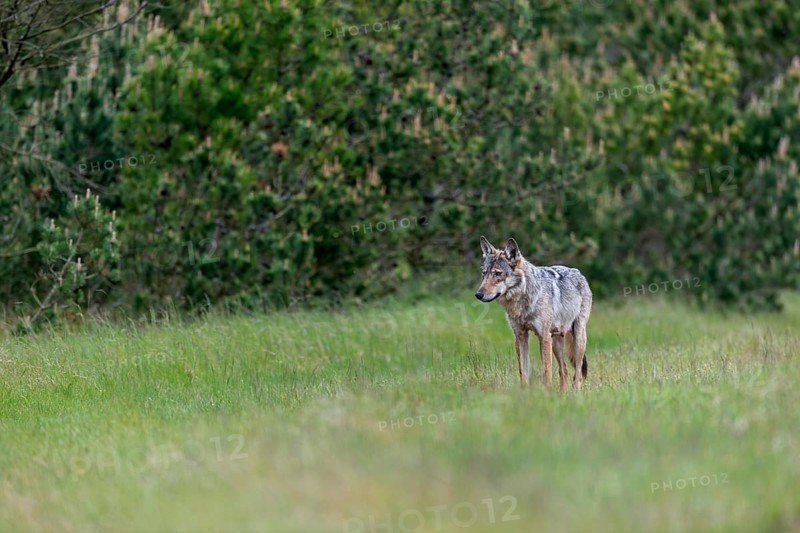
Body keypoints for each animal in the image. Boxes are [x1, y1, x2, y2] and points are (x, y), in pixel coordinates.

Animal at [474, 236, 592, 391]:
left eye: (497, 273)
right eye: (484, 273)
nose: (478, 294)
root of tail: (578, 273)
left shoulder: (543, 336)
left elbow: (546, 372)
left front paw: (546, 393)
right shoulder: (520, 336)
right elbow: (523, 372)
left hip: (577, 338)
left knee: (577, 372)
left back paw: (575, 393)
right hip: (556, 342)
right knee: (564, 370)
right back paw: (562, 394)